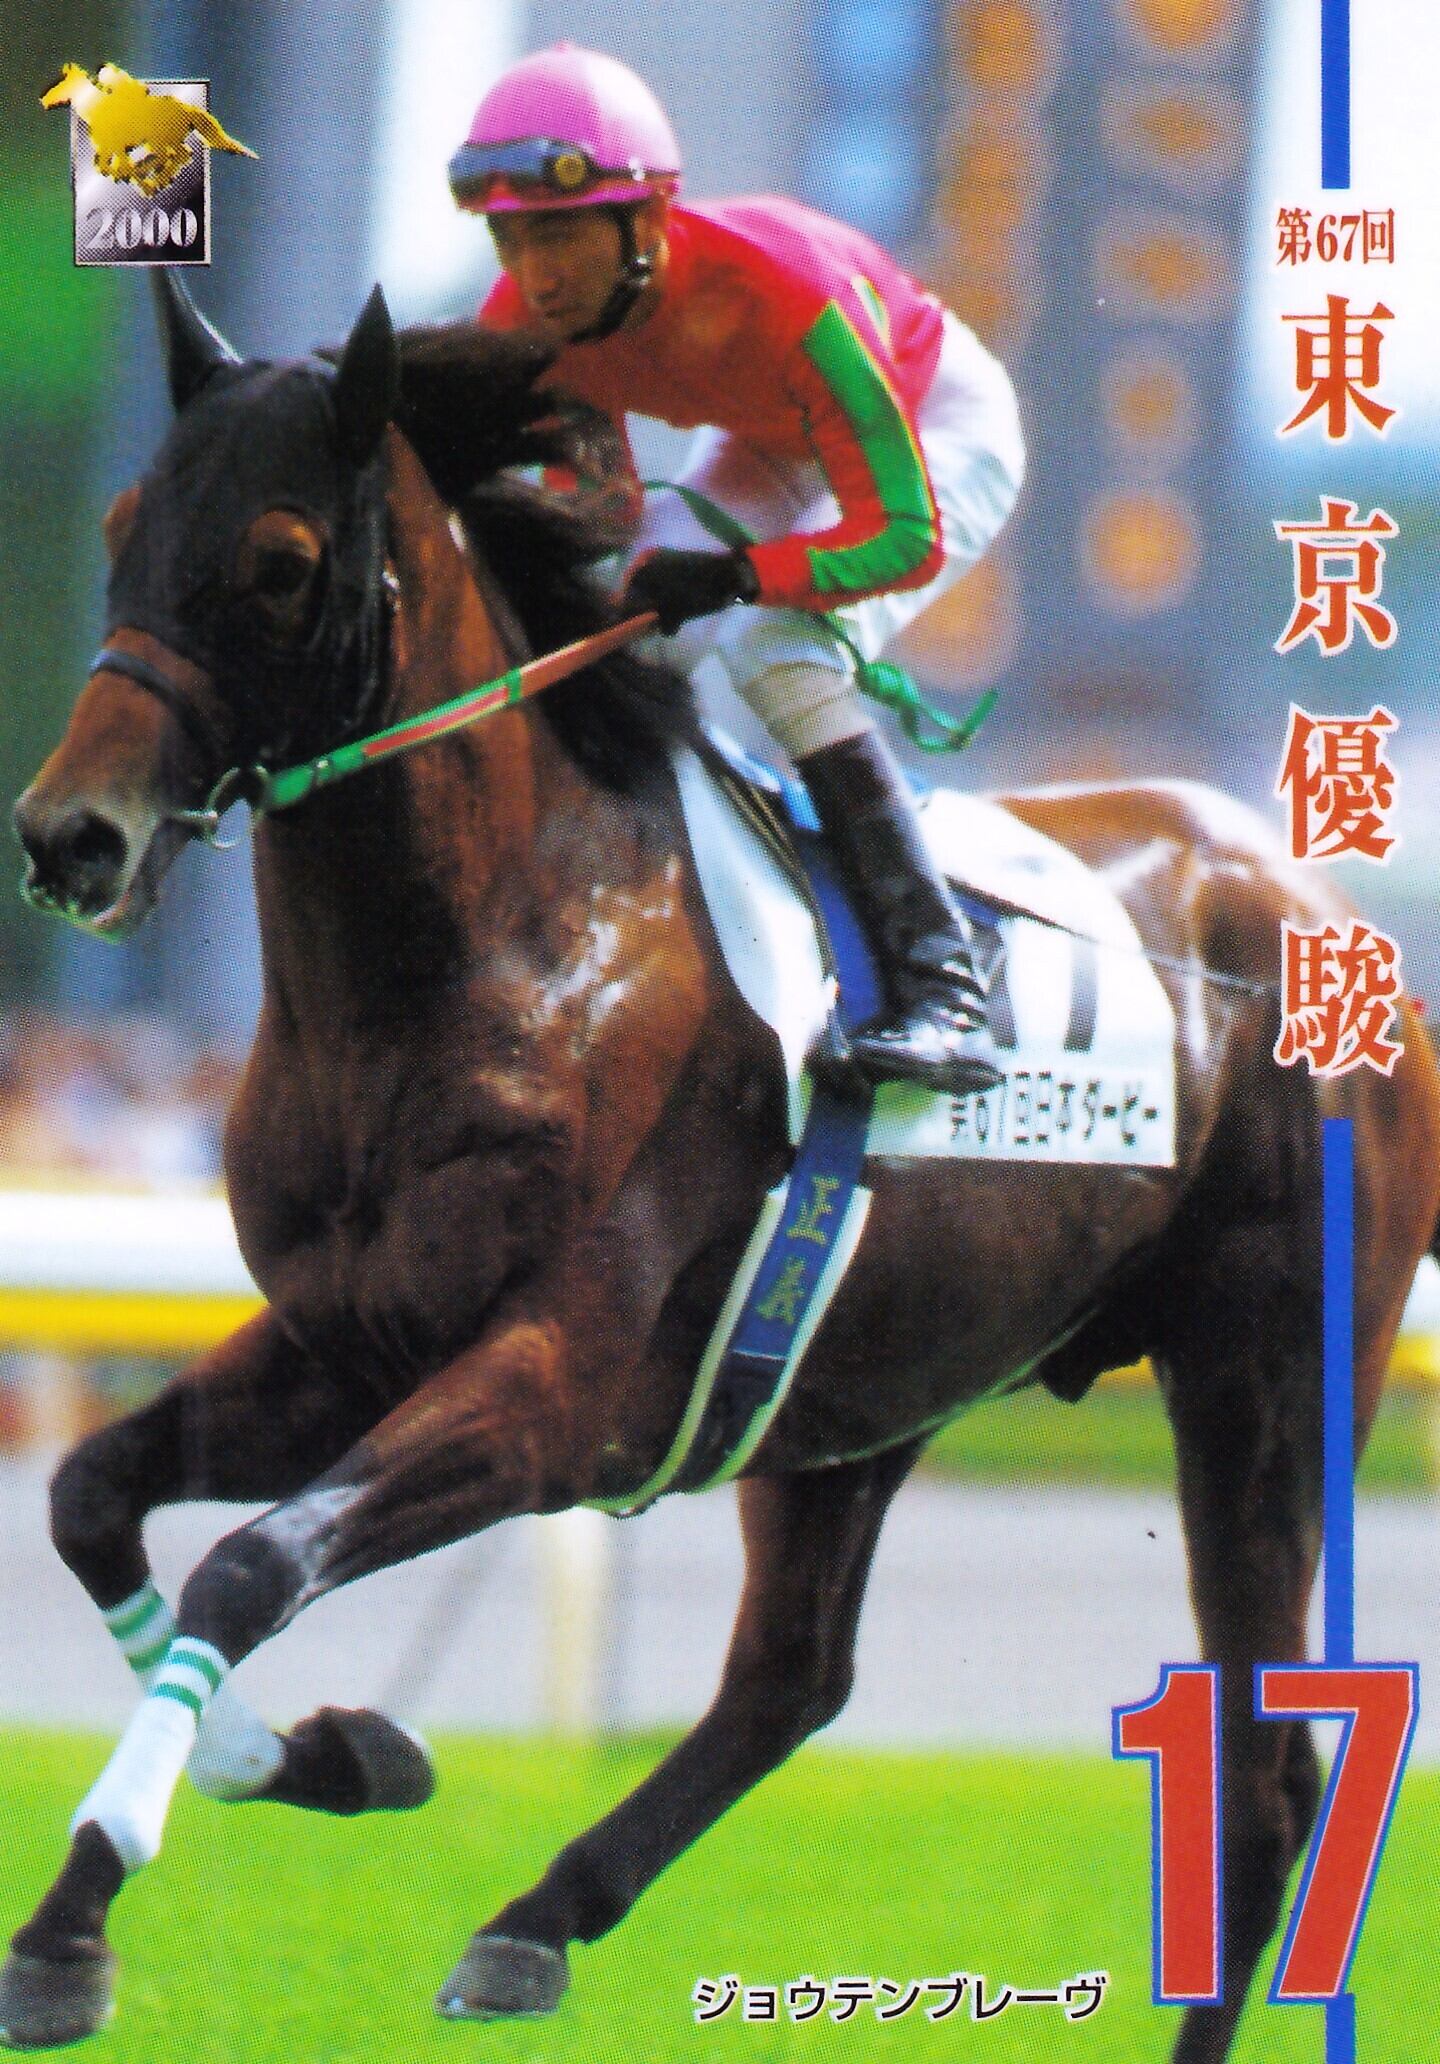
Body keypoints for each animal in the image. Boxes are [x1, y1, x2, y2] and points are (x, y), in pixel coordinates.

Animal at [4, 275, 1438, 2062]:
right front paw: (329, 1758)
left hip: (1268, 1376)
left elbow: (256, 1559)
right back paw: (535, 1920)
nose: (70, 837)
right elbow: (92, 1500)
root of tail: (1325, 915)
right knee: (793, 1675)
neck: (501, 947)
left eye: (277, 559)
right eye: (121, 525)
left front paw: (72, 1922)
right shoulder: (346, 1343)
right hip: (863, 1374)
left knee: (1264, 1767)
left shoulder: (552, 1387)